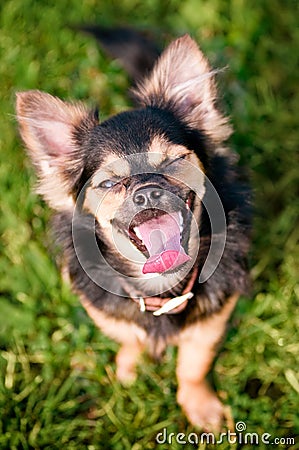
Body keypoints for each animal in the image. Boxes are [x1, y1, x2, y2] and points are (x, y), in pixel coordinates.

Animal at [15, 29, 251, 430]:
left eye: (173, 161)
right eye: (110, 184)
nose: (148, 191)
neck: (161, 287)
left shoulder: (215, 316)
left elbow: (193, 363)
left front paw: (200, 407)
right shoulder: (103, 309)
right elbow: (129, 336)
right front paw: (130, 367)